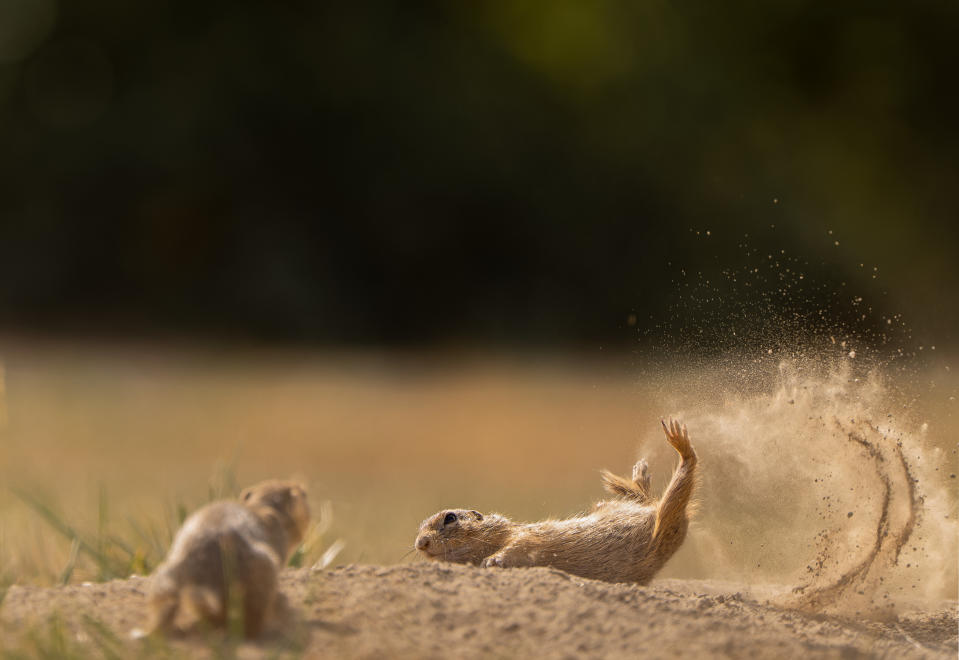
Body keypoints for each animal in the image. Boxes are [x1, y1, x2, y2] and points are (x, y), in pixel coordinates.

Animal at [412, 418, 696, 584]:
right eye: (420, 527)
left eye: (450, 518)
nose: (420, 543)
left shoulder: (521, 536)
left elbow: (520, 544)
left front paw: (493, 560)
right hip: (661, 517)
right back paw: (647, 471)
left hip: (663, 519)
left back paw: (672, 448)